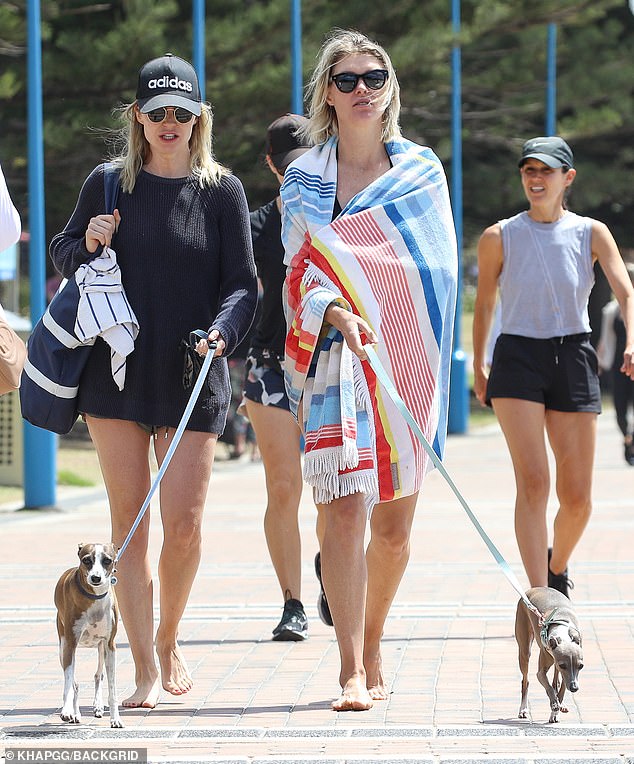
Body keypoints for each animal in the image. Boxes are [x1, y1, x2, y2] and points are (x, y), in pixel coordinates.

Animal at [512, 584, 584, 724]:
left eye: (581, 666)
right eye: (563, 665)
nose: (574, 688)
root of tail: (533, 588)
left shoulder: (566, 672)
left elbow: (561, 689)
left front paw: (556, 711)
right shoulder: (543, 671)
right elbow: (548, 686)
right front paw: (554, 705)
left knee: (556, 682)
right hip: (524, 651)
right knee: (525, 681)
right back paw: (523, 709)